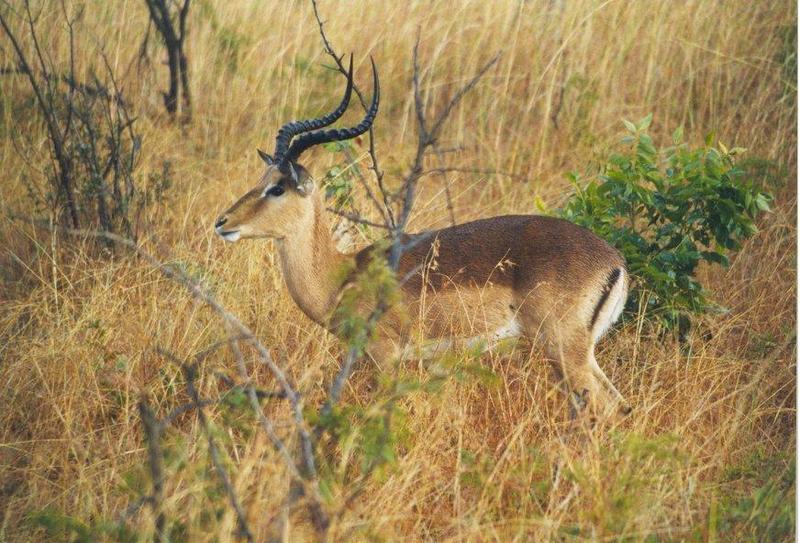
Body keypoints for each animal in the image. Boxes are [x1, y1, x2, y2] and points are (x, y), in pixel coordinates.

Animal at [214, 58, 632, 416]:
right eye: (262, 179)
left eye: (278, 188)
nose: (222, 222)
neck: (341, 277)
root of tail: (616, 263)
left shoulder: (385, 356)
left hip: (564, 349)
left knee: (607, 407)